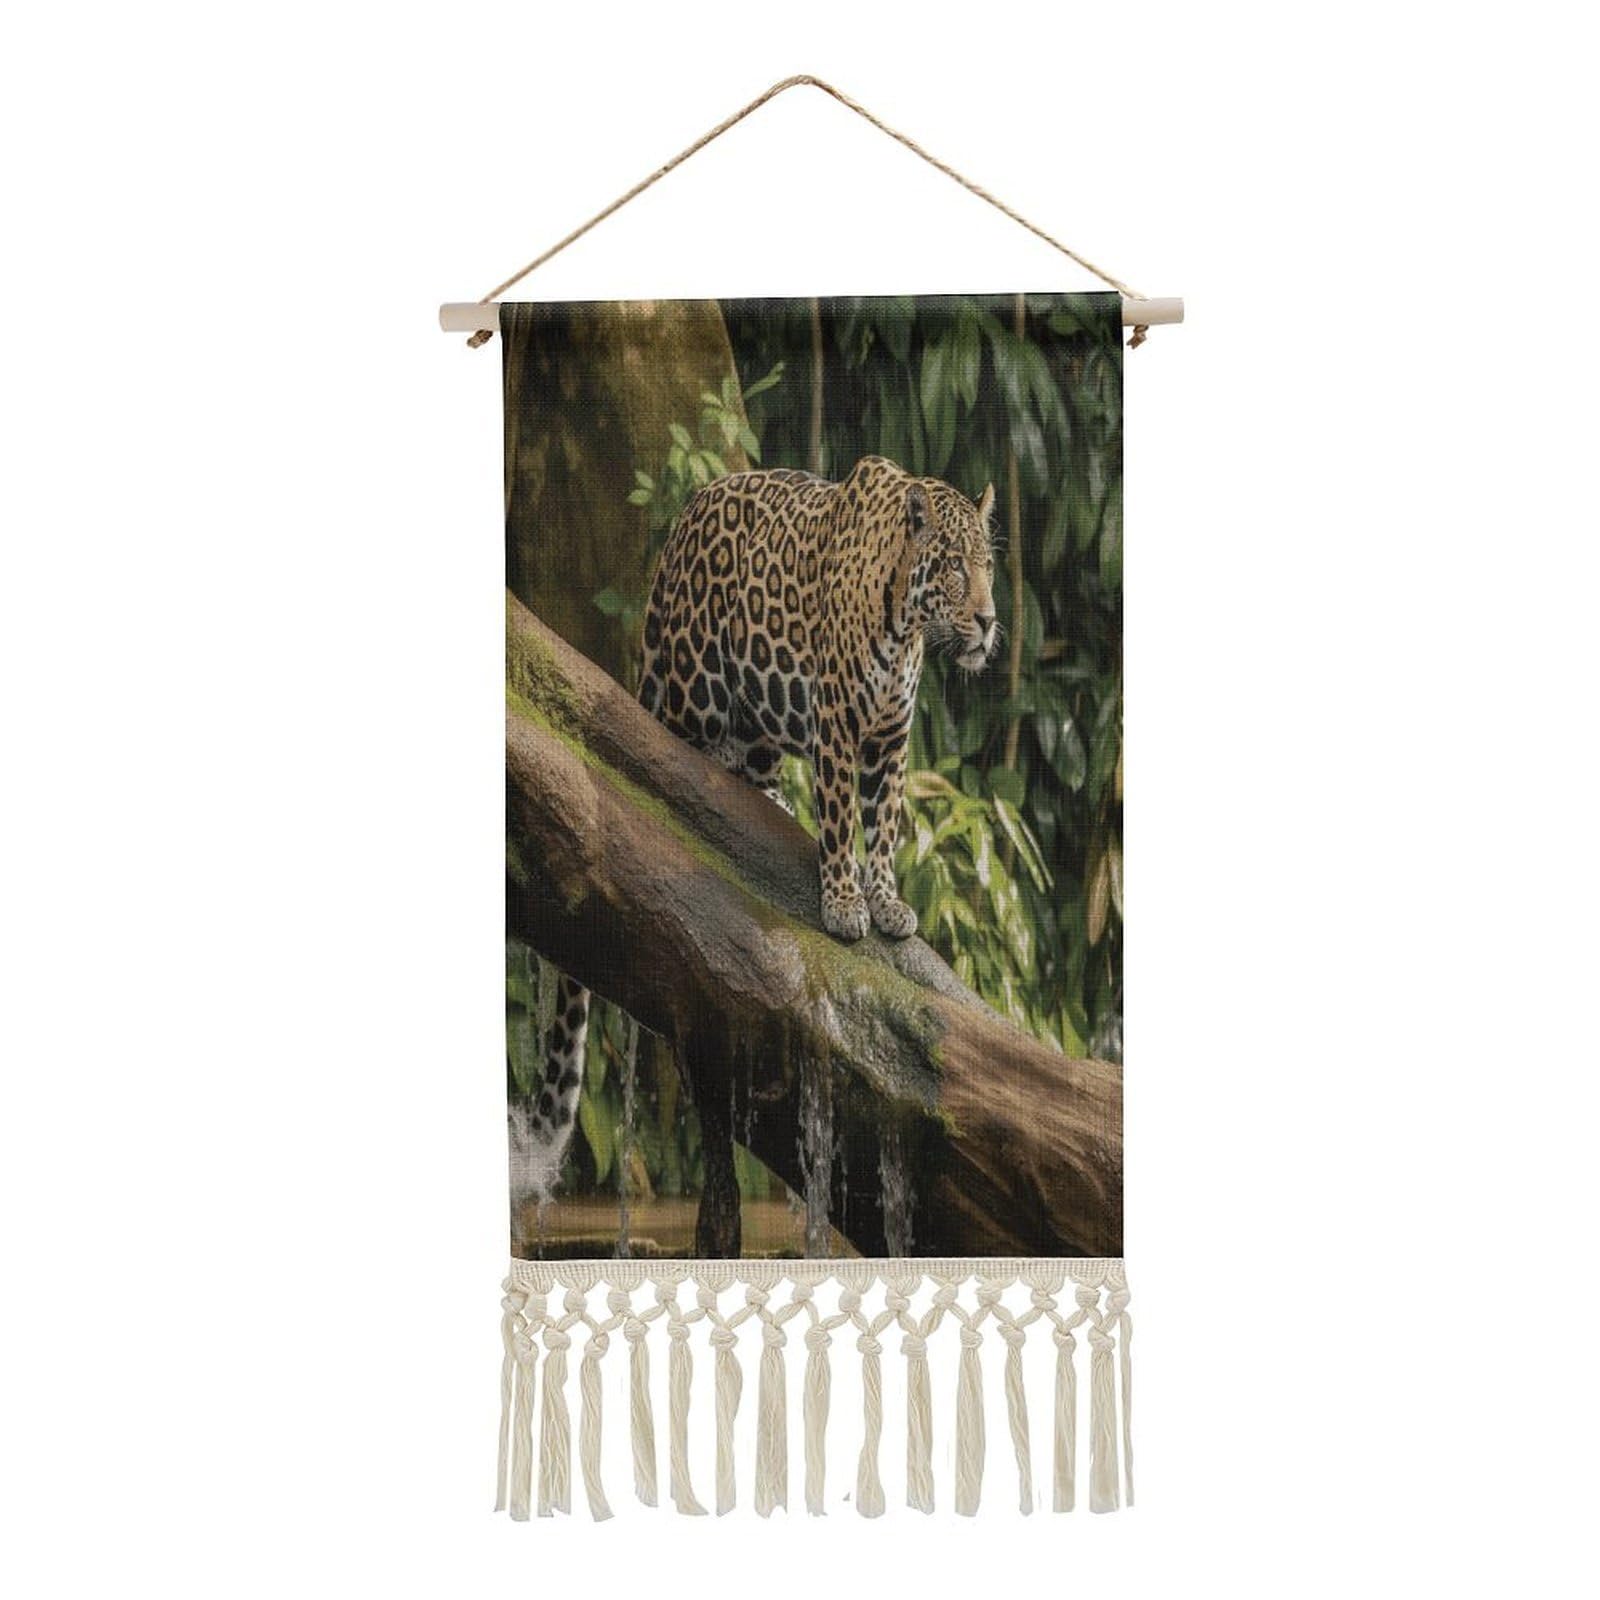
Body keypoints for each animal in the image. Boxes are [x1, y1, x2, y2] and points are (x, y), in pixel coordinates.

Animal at [514, 454, 998, 1198]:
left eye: (989, 565)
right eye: (950, 565)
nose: (989, 621)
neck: (904, 621)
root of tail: (680, 526)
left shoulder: (891, 741)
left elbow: (885, 825)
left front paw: (887, 903)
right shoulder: (838, 724)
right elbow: (842, 819)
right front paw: (844, 904)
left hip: (762, 720)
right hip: (694, 688)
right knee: (667, 757)